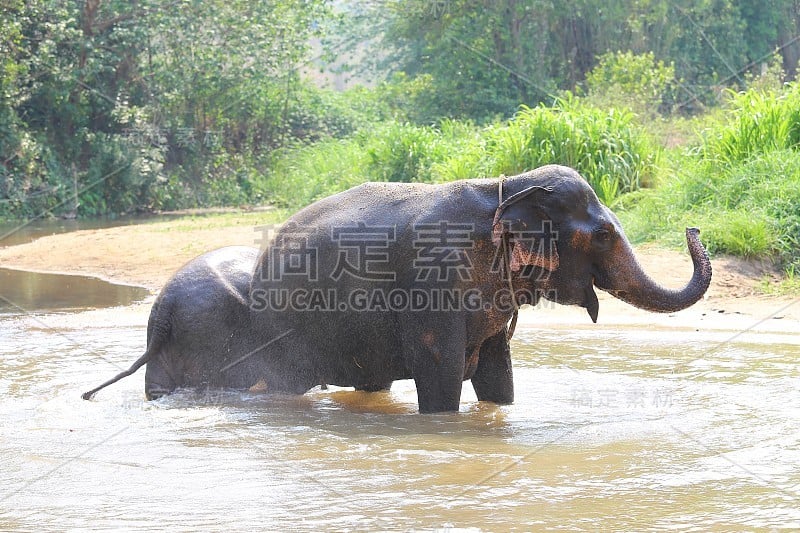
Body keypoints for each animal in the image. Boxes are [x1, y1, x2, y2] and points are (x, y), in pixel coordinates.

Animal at [83, 164, 712, 414]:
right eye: (603, 234)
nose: (694, 228)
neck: (504, 185)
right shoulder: (434, 282)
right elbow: (440, 374)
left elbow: (497, 374)